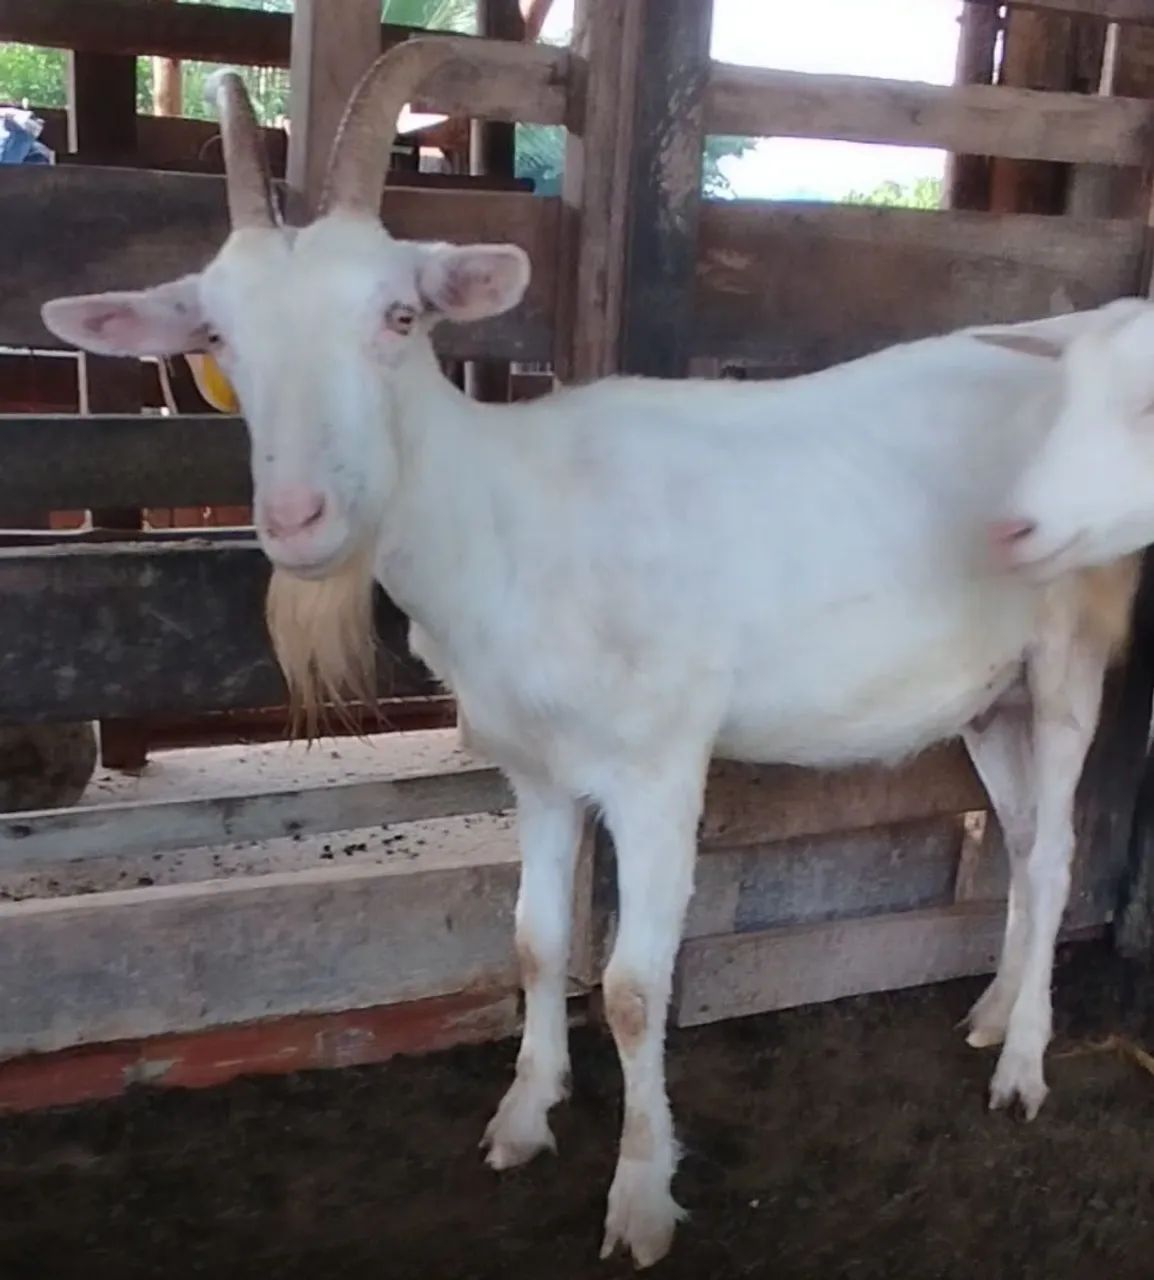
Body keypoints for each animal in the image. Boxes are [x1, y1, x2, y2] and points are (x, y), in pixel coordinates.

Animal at [41, 40, 1149, 1268]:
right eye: (218, 338)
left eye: (397, 314)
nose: (296, 517)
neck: (514, 517)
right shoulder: (531, 765)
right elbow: (532, 939)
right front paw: (523, 1117)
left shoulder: (659, 763)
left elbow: (629, 985)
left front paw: (640, 1198)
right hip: (985, 693)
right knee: (1019, 836)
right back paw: (994, 1013)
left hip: (1067, 647)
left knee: (1055, 853)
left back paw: (1023, 1068)